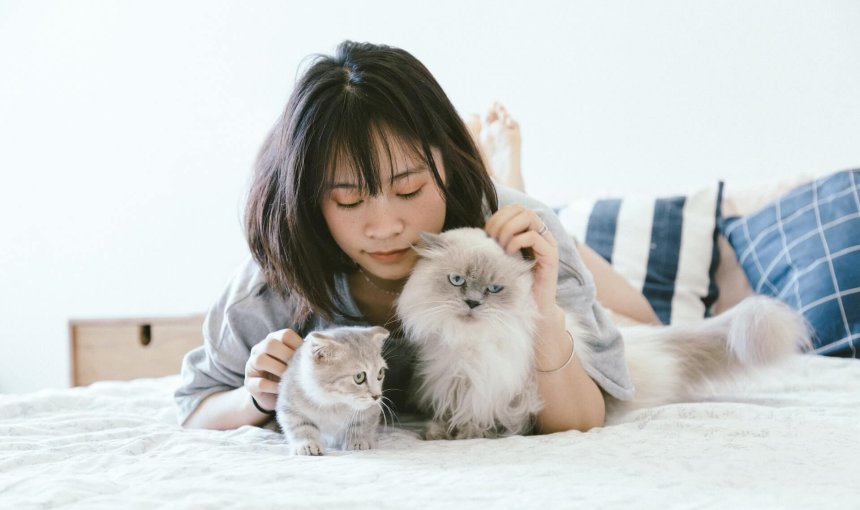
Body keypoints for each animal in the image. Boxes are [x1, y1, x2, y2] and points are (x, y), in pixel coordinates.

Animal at [276, 324, 390, 456]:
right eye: (359, 377)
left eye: (380, 373)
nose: (377, 396)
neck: (334, 402)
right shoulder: (289, 401)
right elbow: (299, 425)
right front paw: (308, 444)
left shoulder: (372, 408)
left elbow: (362, 423)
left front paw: (358, 440)